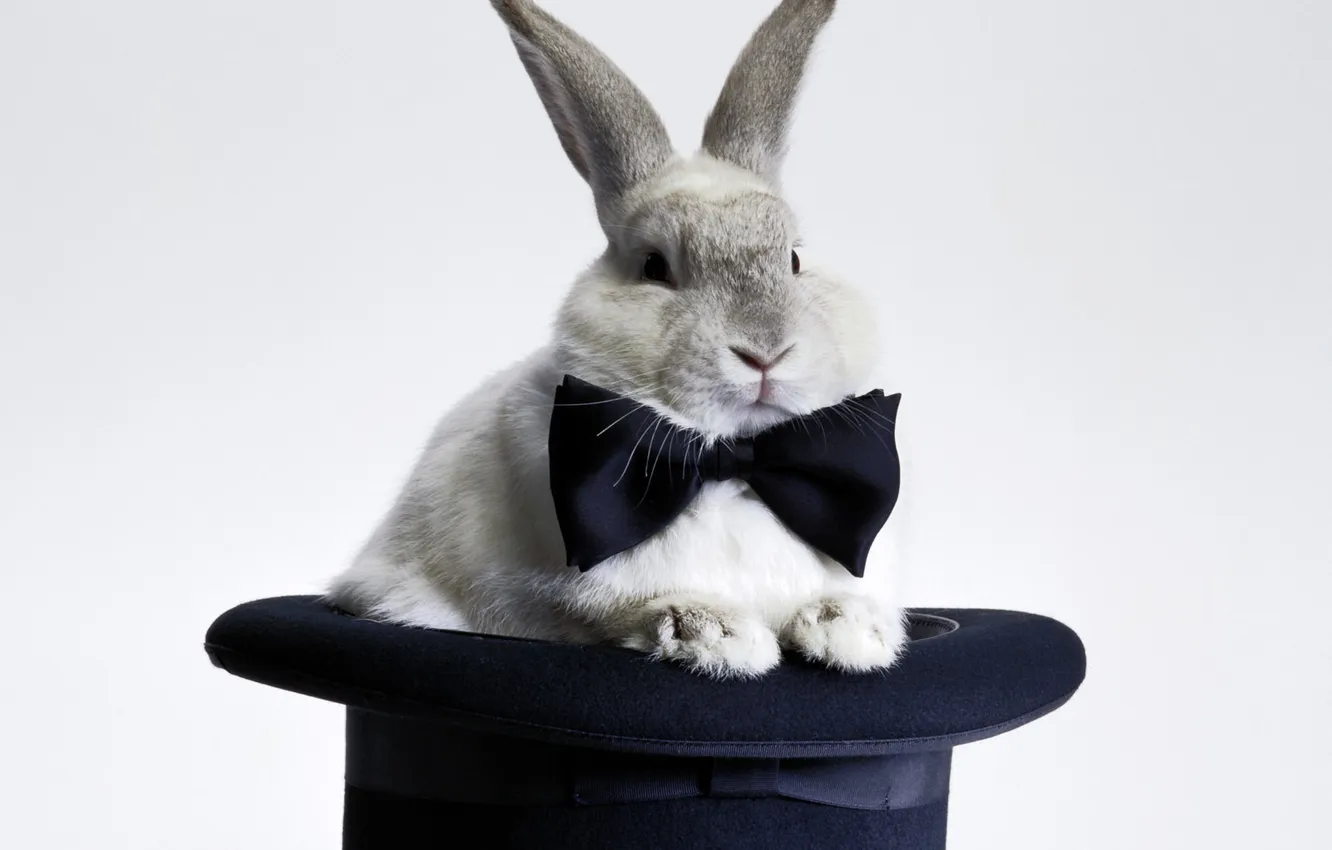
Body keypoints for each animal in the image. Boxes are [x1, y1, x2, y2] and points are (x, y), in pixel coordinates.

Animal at [324, 0, 908, 679]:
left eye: (792, 259)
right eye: (655, 266)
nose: (765, 352)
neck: (736, 465)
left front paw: (851, 633)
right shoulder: (544, 597)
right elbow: (621, 610)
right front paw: (721, 636)